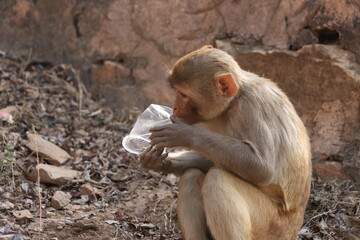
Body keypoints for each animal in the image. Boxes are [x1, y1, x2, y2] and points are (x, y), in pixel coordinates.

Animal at [139, 46, 310, 239]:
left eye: (183, 94)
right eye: (176, 91)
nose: (174, 107)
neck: (234, 101)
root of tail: (295, 225)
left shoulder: (250, 109)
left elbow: (263, 169)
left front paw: (183, 133)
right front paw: (159, 161)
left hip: (273, 226)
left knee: (217, 180)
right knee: (192, 176)